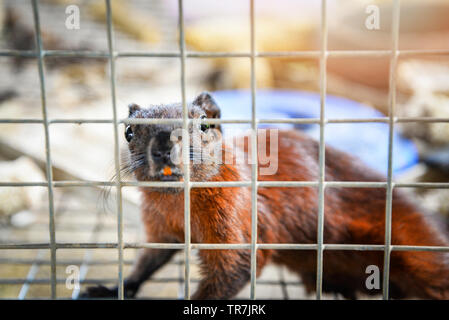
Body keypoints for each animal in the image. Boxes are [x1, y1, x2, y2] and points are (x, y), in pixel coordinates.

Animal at [81, 91, 448, 298]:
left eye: (204, 125)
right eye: (129, 131)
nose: (164, 149)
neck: (179, 207)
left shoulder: (240, 225)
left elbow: (232, 272)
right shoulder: (162, 229)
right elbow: (147, 262)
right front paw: (109, 289)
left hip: (418, 248)